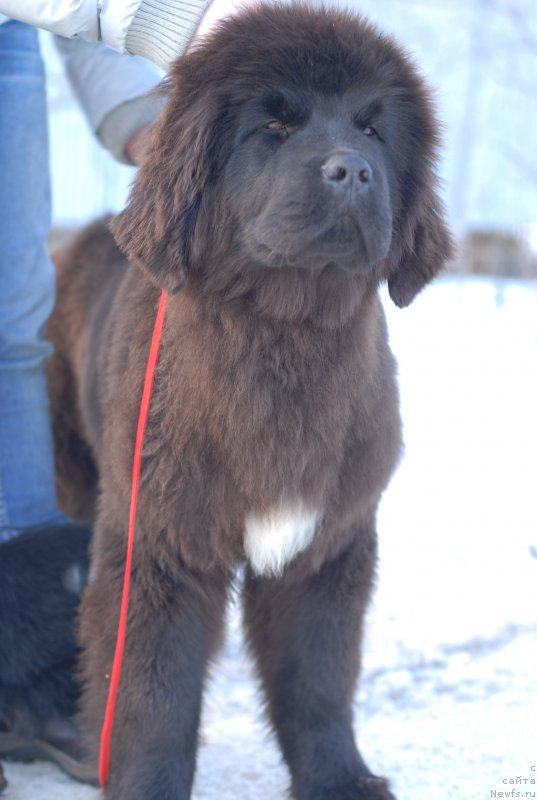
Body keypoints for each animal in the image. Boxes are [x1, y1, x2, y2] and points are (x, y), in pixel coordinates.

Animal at [46, 3, 450, 796]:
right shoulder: (158, 542)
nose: (351, 170)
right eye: (273, 125)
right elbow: (152, 689)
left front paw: (340, 779)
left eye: (371, 129)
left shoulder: (327, 543)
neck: (282, 339)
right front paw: (147, 784)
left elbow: (318, 679)